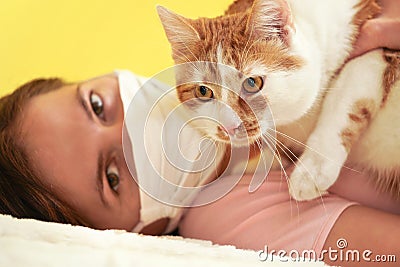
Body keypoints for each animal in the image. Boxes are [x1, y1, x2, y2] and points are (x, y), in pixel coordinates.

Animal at [157, 0, 400, 201]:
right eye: (203, 91)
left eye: (252, 83)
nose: (227, 127)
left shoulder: (379, 50)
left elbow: (343, 96)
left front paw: (312, 170)